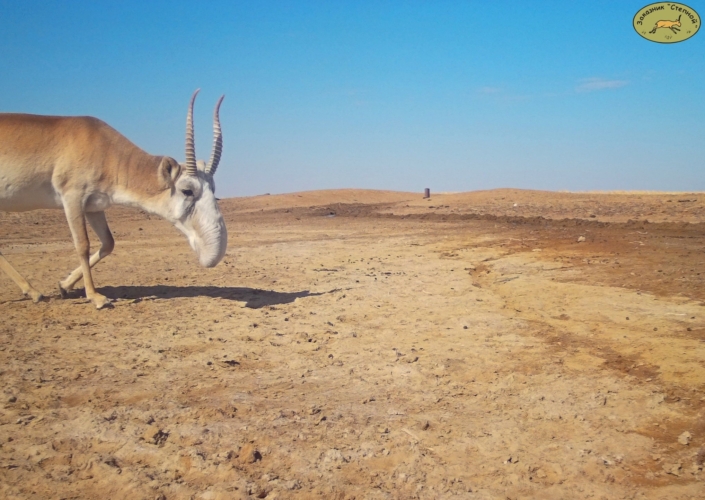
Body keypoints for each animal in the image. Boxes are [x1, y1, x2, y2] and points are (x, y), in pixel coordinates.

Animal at [0, 90, 226, 308]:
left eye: (213, 188)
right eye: (187, 190)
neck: (104, 149)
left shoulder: (93, 206)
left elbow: (108, 243)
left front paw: (64, 285)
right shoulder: (72, 198)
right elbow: (82, 244)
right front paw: (96, 297)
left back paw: (33, 292)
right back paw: (34, 292)